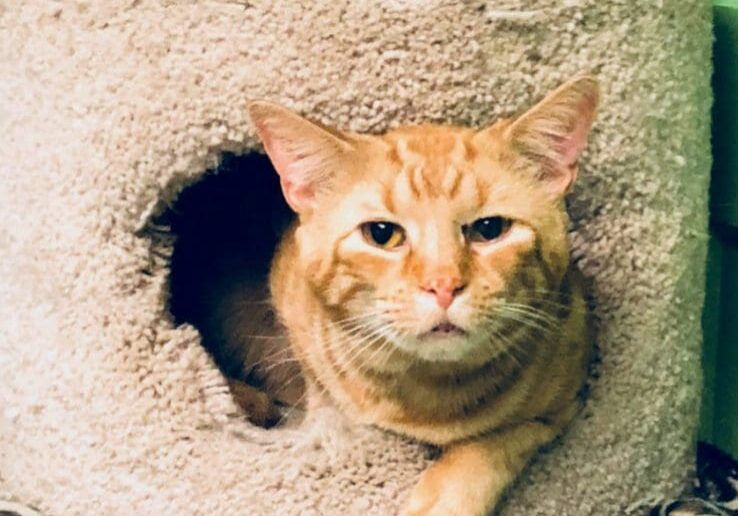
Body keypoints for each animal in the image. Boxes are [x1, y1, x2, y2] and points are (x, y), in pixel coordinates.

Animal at [250, 75, 596, 516]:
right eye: (382, 234)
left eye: (490, 229)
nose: (443, 285)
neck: (430, 393)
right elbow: (321, 396)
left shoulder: (563, 400)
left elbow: (492, 443)